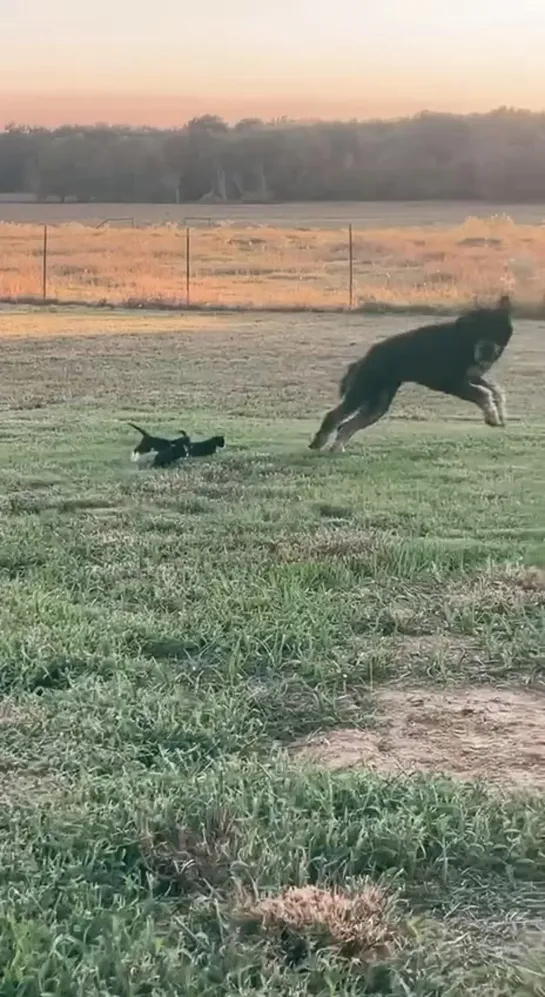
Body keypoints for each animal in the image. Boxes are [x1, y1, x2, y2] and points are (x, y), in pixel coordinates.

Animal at [308, 294, 512, 454]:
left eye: (498, 332)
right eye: (481, 329)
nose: (486, 355)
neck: (465, 341)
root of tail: (366, 357)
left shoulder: (471, 377)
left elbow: (496, 390)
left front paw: (499, 413)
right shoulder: (451, 382)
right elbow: (483, 393)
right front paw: (492, 417)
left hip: (378, 403)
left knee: (347, 425)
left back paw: (336, 447)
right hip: (364, 390)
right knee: (334, 416)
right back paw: (319, 442)